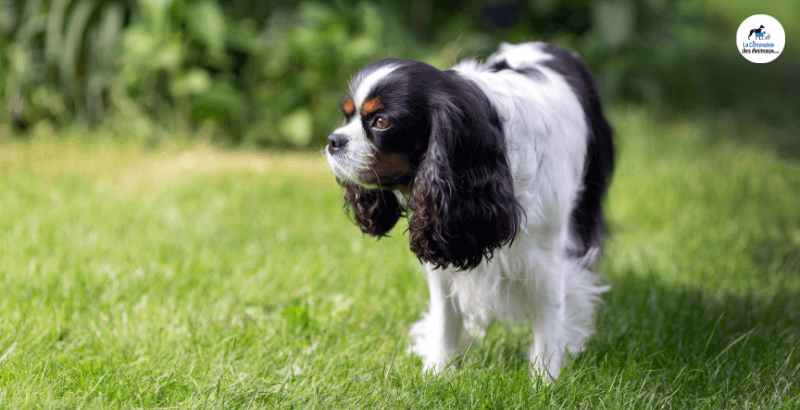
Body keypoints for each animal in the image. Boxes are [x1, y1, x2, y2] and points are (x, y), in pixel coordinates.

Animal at [324, 43, 612, 380]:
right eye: (346, 115)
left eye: (382, 122)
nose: (333, 140)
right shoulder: (443, 244)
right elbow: (445, 316)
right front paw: (437, 373)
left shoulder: (548, 258)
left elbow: (548, 322)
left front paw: (545, 380)